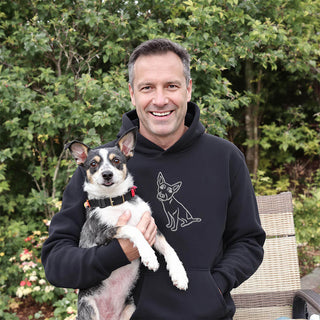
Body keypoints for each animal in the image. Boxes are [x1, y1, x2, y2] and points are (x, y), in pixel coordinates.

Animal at [66, 128, 189, 320]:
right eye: (93, 164)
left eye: (116, 160)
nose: (107, 174)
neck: (116, 200)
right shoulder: (103, 234)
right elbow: (133, 229)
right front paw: (149, 256)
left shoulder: (153, 229)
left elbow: (169, 248)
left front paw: (179, 274)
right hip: (89, 309)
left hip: (130, 309)